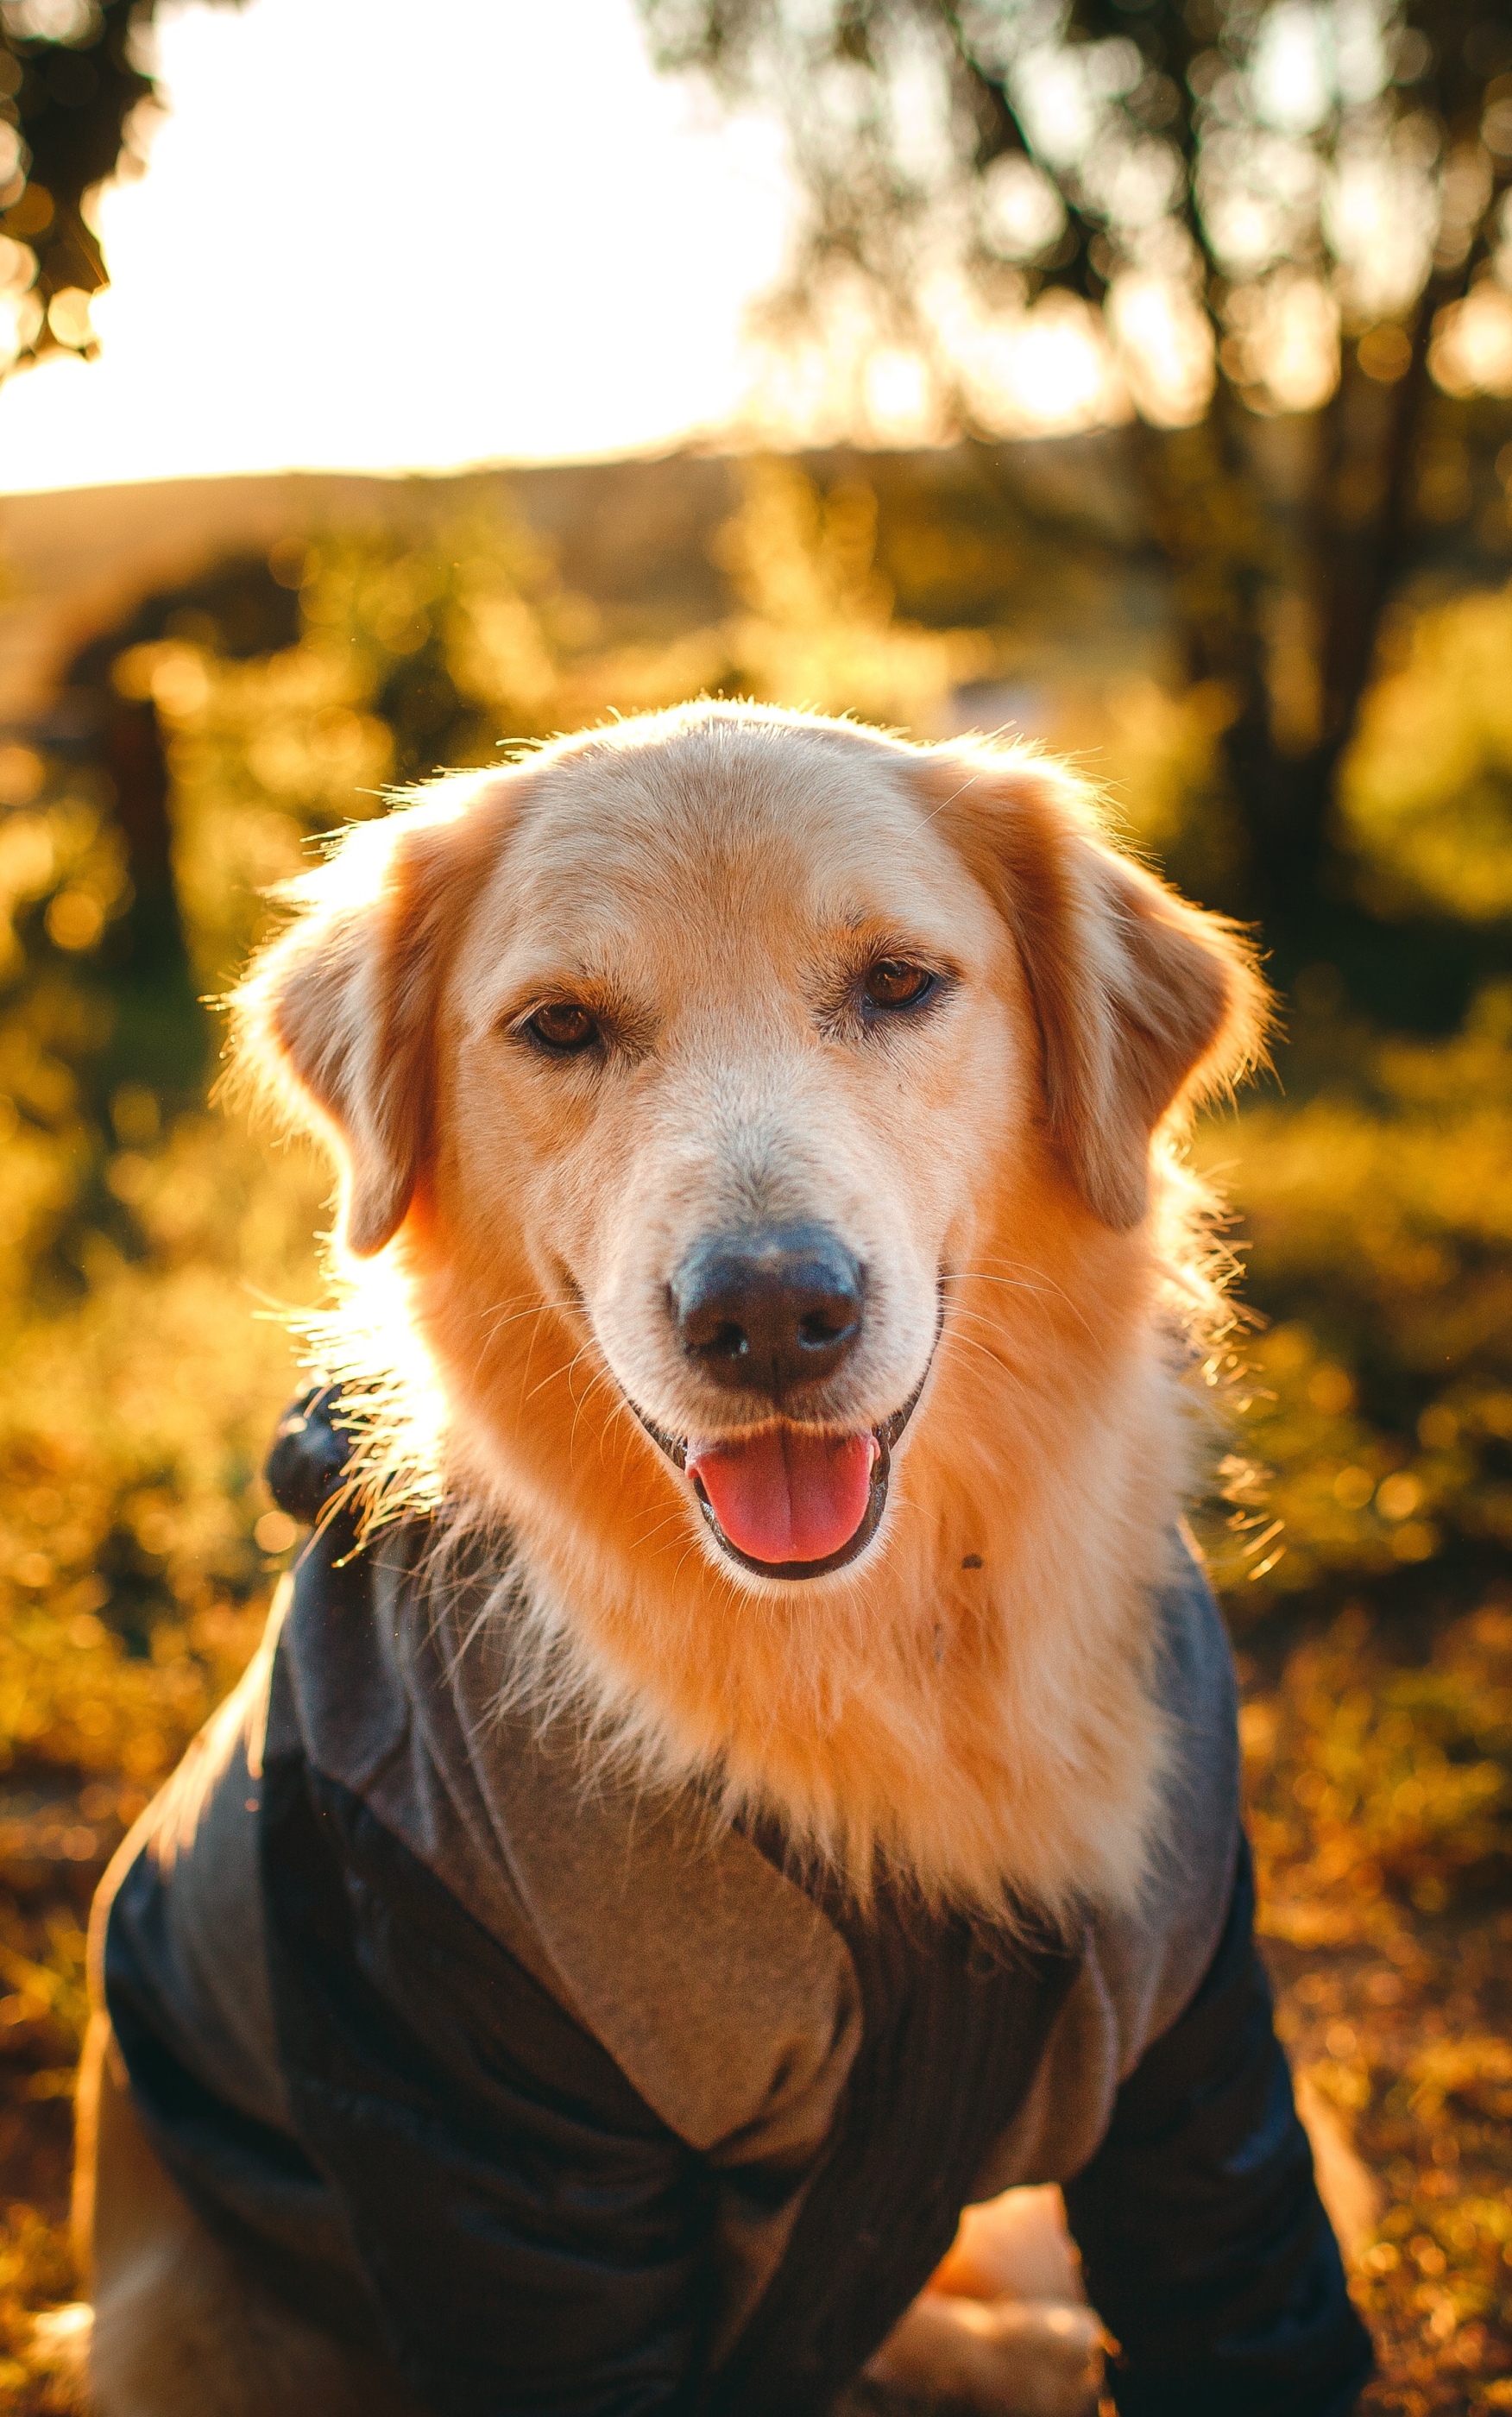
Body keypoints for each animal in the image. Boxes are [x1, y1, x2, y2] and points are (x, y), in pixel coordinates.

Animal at [67, 705, 1362, 2407]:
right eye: (560, 1026)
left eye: (898, 984)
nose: (768, 1315)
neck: (877, 1643)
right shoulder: (479, 2125)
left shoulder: (1196, 2062)